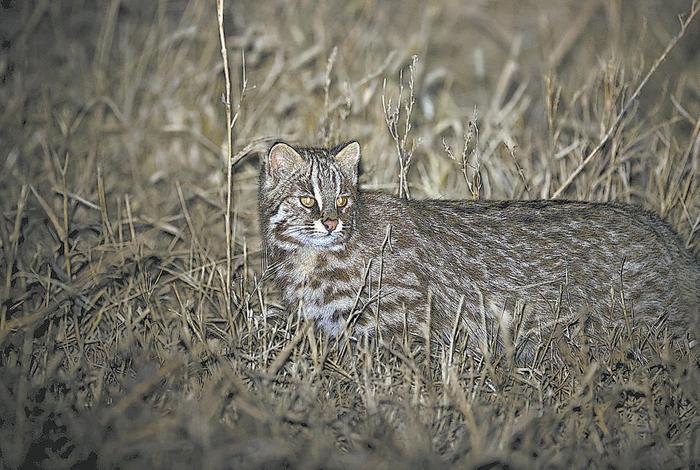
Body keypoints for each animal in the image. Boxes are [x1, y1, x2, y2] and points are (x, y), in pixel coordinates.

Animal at [258, 141, 700, 358]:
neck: (313, 257)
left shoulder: (404, 330)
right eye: (307, 200)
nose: (331, 222)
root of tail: (661, 228)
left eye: (343, 200)